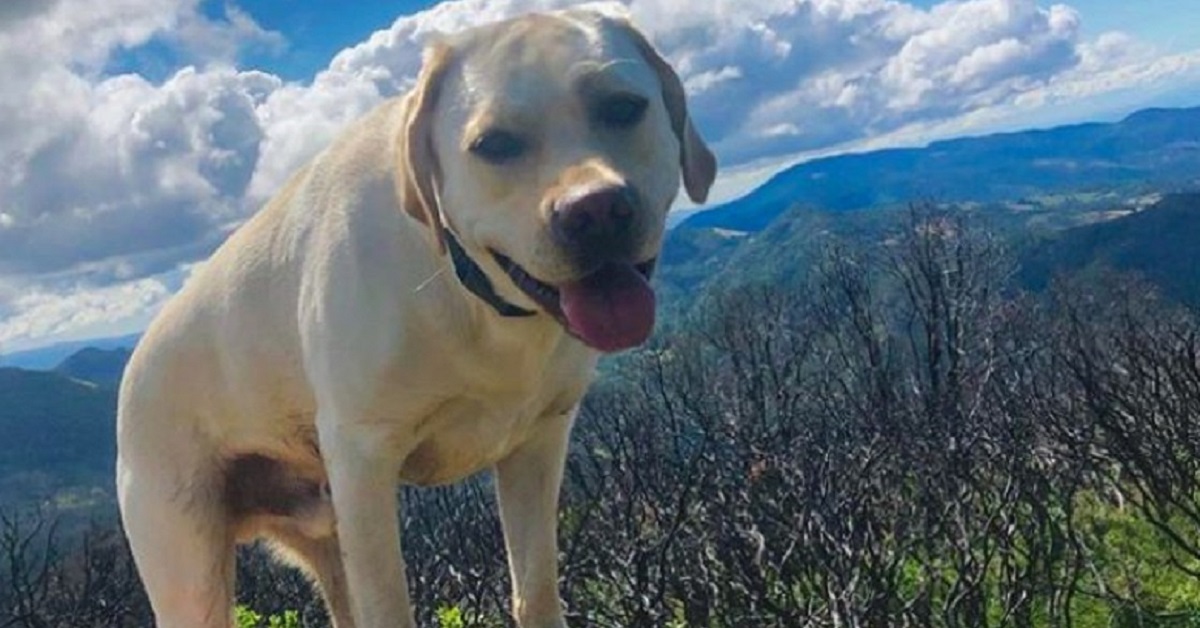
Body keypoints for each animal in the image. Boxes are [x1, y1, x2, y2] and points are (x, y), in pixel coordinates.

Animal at [112, 11, 710, 628]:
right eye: (493, 144)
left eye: (624, 107)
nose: (596, 211)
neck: (467, 287)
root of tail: (132, 369)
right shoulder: (364, 464)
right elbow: (389, 605)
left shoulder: (539, 444)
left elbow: (536, 591)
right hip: (192, 565)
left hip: (326, 536)